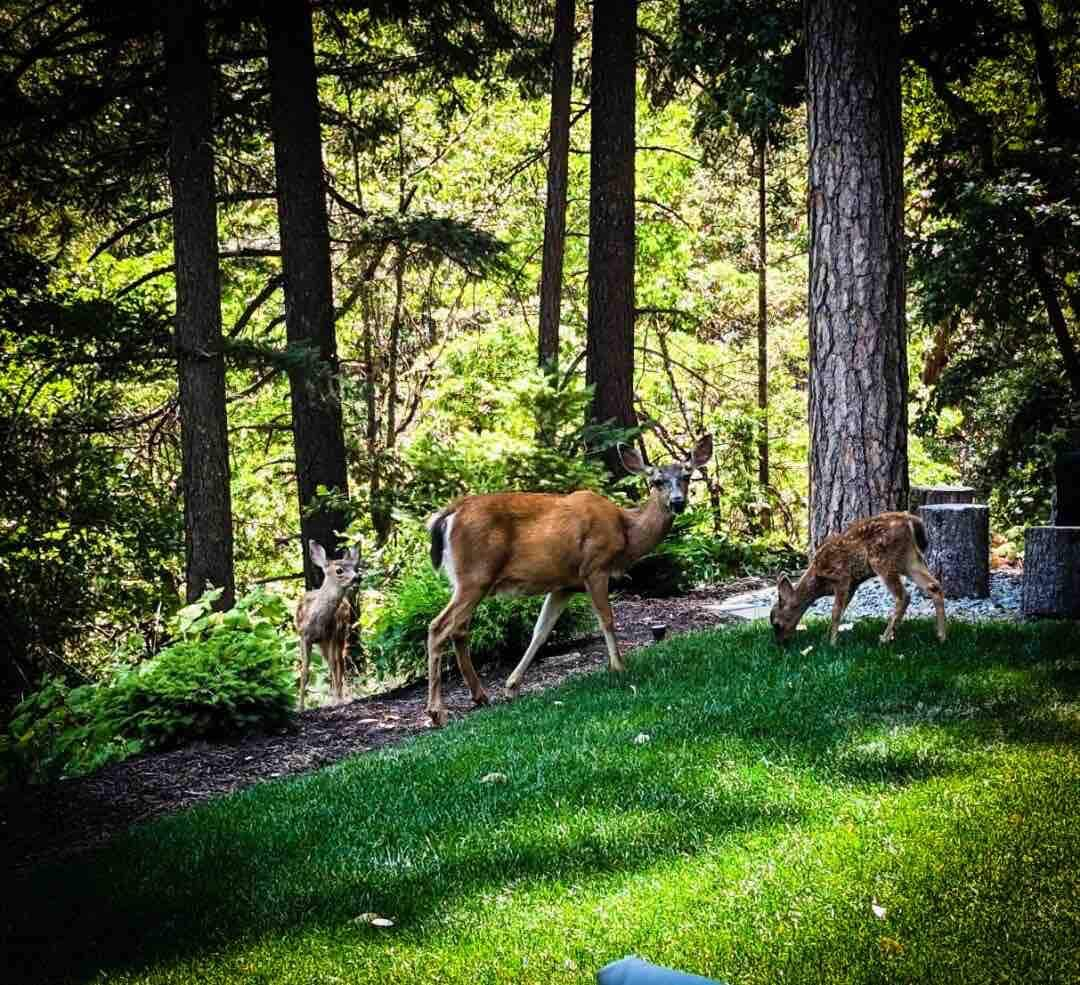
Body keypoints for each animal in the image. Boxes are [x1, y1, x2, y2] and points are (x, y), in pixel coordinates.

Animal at [293, 537, 360, 708]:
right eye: (339, 570)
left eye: (355, 567)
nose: (357, 577)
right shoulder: (304, 637)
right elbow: (304, 671)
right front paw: (300, 707)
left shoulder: (330, 635)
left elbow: (334, 665)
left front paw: (337, 700)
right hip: (323, 643)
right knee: (333, 663)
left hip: (341, 634)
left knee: (338, 662)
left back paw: (340, 697)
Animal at [423, 434, 717, 725]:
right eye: (656, 481)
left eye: (687, 475)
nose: (678, 502)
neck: (626, 531)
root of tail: (449, 513)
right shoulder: (594, 567)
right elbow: (606, 619)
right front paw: (618, 667)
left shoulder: (564, 585)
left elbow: (540, 632)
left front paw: (512, 686)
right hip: (475, 576)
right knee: (439, 626)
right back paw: (437, 712)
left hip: (467, 581)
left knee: (459, 629)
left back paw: (480, 696)